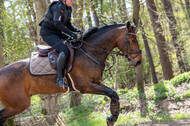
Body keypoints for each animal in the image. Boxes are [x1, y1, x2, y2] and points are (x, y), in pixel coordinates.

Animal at [0, 21, 141, 125]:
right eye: (133, 40)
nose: (139, 61)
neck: (89, 52)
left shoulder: (96, 82)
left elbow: (114, 94)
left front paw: (112, 117)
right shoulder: (85, 86)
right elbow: (112, 93)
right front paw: (112, 117)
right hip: (19, 104)